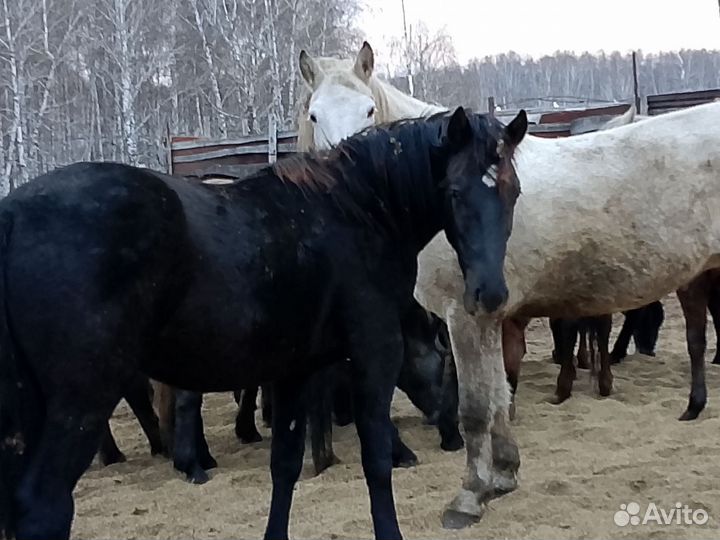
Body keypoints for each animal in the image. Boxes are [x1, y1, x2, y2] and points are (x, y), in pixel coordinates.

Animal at [0, 107, 528, 540]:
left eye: (513, 191)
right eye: (454, 191)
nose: (490, 293)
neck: (356, 211)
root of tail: (12, 214)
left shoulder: (295, 370)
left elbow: (286, 465)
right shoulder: (373, 356)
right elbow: (376, 461)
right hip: (80, 403)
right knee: (44, 507)